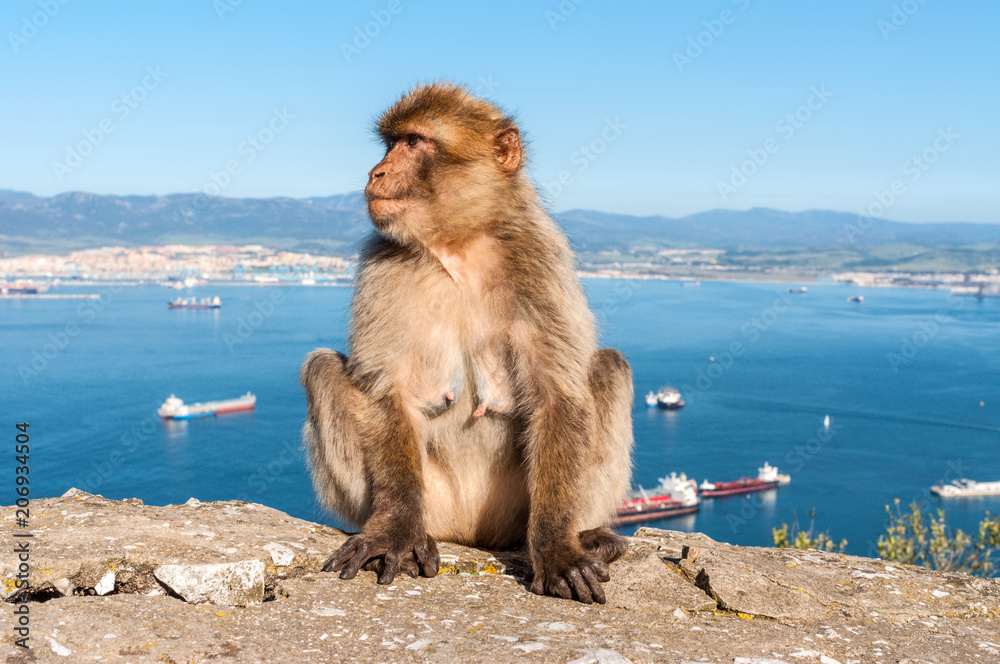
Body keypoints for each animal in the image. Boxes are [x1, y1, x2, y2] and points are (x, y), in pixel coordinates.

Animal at [301, 83, 633, 604]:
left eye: (413, 142)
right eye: (390, 143)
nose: (377, 172)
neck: (458, 244)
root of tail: (474, 536)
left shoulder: (541, 258)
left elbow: (558, 393)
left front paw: (557, 548)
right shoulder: (381, 262)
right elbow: (385, 390)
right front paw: (392, 531)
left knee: (609, 368)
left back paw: (586, 535)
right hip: (434, 506)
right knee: (323, 369)